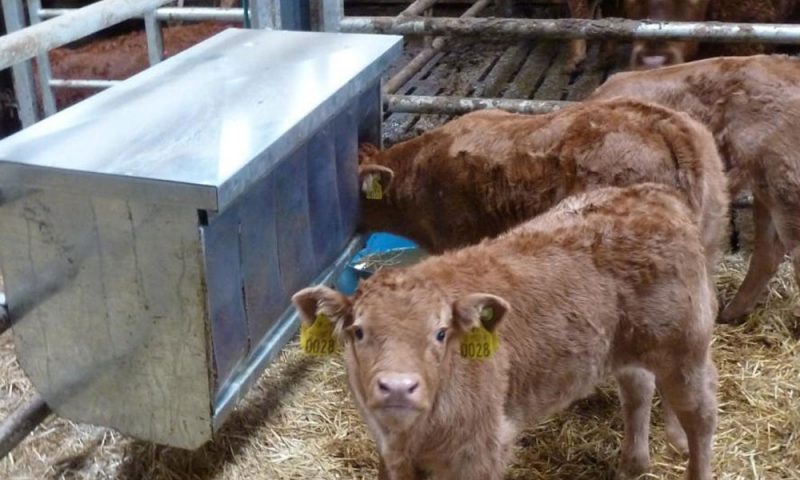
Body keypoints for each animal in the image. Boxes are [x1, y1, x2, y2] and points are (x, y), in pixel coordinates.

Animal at [293, 183, 719, 480]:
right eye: (358, 332)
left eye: (440, 333)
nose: (398, 387)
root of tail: (656, 195)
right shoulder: (392, 450)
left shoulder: (480, 452)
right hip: (626, 346)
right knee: (639, 387)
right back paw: (633, 463)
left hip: (685, 347)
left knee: (701, 413)